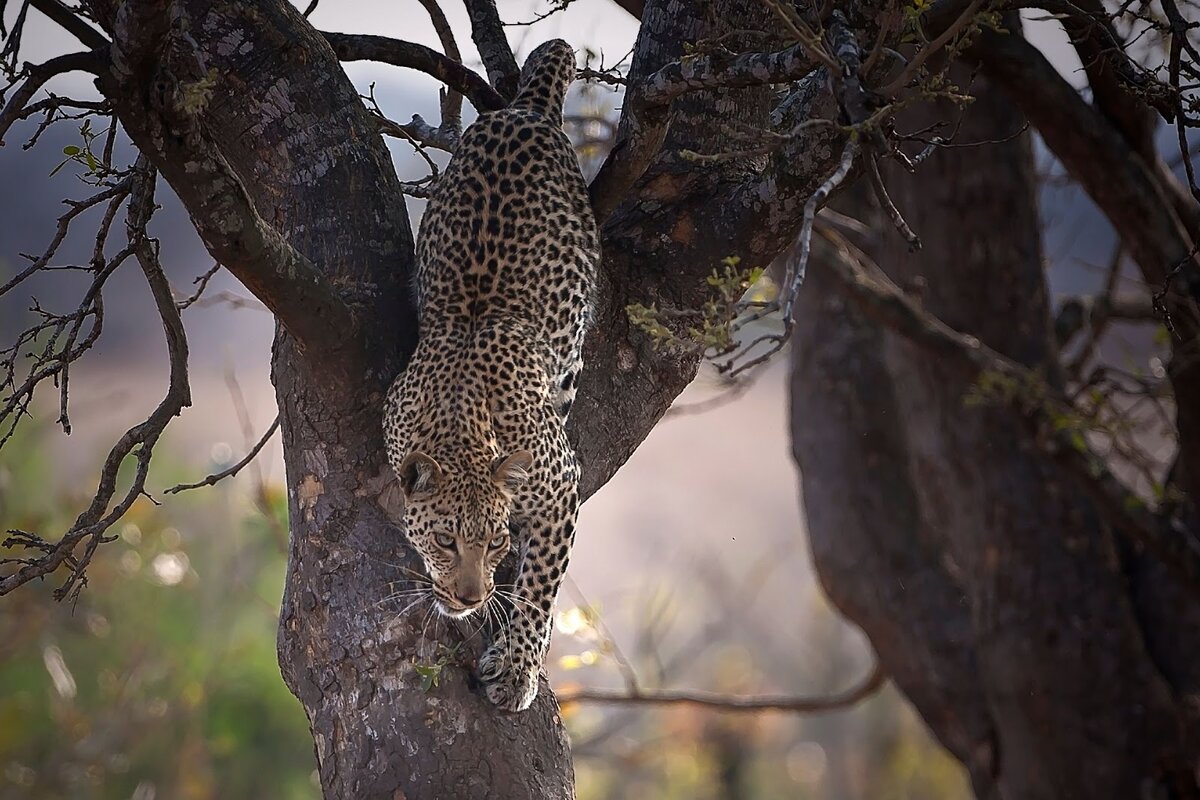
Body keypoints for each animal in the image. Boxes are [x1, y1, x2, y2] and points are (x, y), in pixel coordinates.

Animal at [384, 38, 600, 714]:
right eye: (445, 541)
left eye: (496, 541)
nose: (471, 597)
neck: (460, 420)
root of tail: (524, 110)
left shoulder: (563, 488)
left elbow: (540, 585)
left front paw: (517, 665)